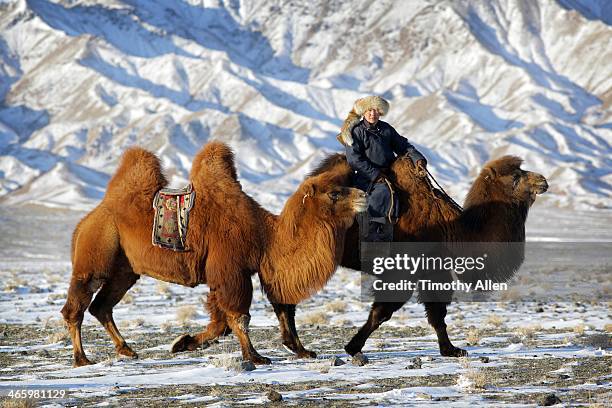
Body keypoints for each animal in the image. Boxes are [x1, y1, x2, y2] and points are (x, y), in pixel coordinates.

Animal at [59, 140, 366, 366]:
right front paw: (255, 356)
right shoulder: (230, 269)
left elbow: (223, 323)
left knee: (102, 306)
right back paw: (82, 359)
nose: (363, 196)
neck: (264, 236)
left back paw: (126, 349)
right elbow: (238, 317)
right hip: (96, 252)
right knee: (76, 306)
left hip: (125, 268)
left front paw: (182, 343)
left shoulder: (224, 274)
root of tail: (86, 220)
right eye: (335, 193)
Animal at [274, 152, 548, 360]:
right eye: (516, 176)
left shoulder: (432, 270)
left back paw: (295, 346)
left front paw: (450, 349)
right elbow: (384, 311)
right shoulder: (407, 269)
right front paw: (353, 347)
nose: (543, 180)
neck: (456, 230)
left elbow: (436, 313)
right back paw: (299, 348)